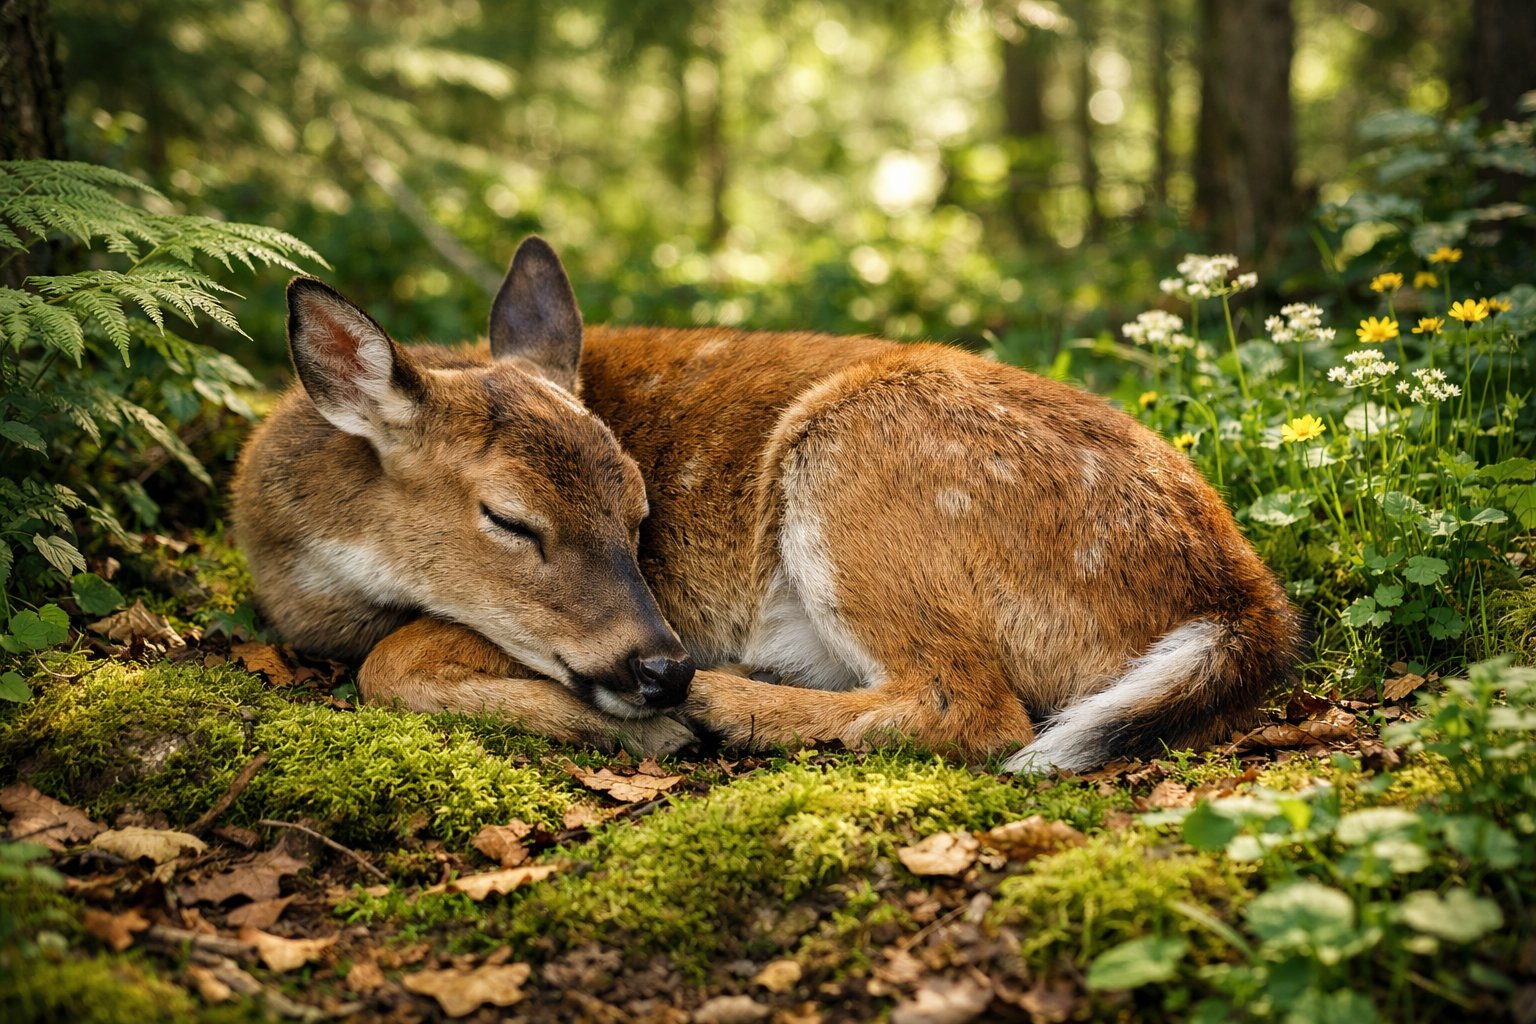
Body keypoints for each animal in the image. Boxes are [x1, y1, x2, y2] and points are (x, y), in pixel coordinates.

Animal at [231, 236, 1300, 771]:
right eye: (509, 518)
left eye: (641, 514)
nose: (660, 665)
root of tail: (1244, 602)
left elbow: (393, 663)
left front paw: (649, 724)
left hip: (859, 466)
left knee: (973, 707)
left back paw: (725, 705)